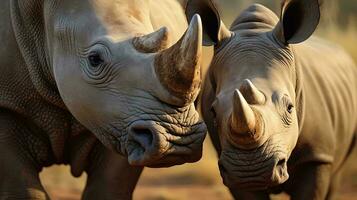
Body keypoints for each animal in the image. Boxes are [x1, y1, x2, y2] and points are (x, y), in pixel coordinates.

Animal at [0, 0, 206, 198]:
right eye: (94, 59)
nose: (179, 140)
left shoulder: (117, 122)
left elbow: (109, 186)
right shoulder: (7, 103)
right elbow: (23, 189)